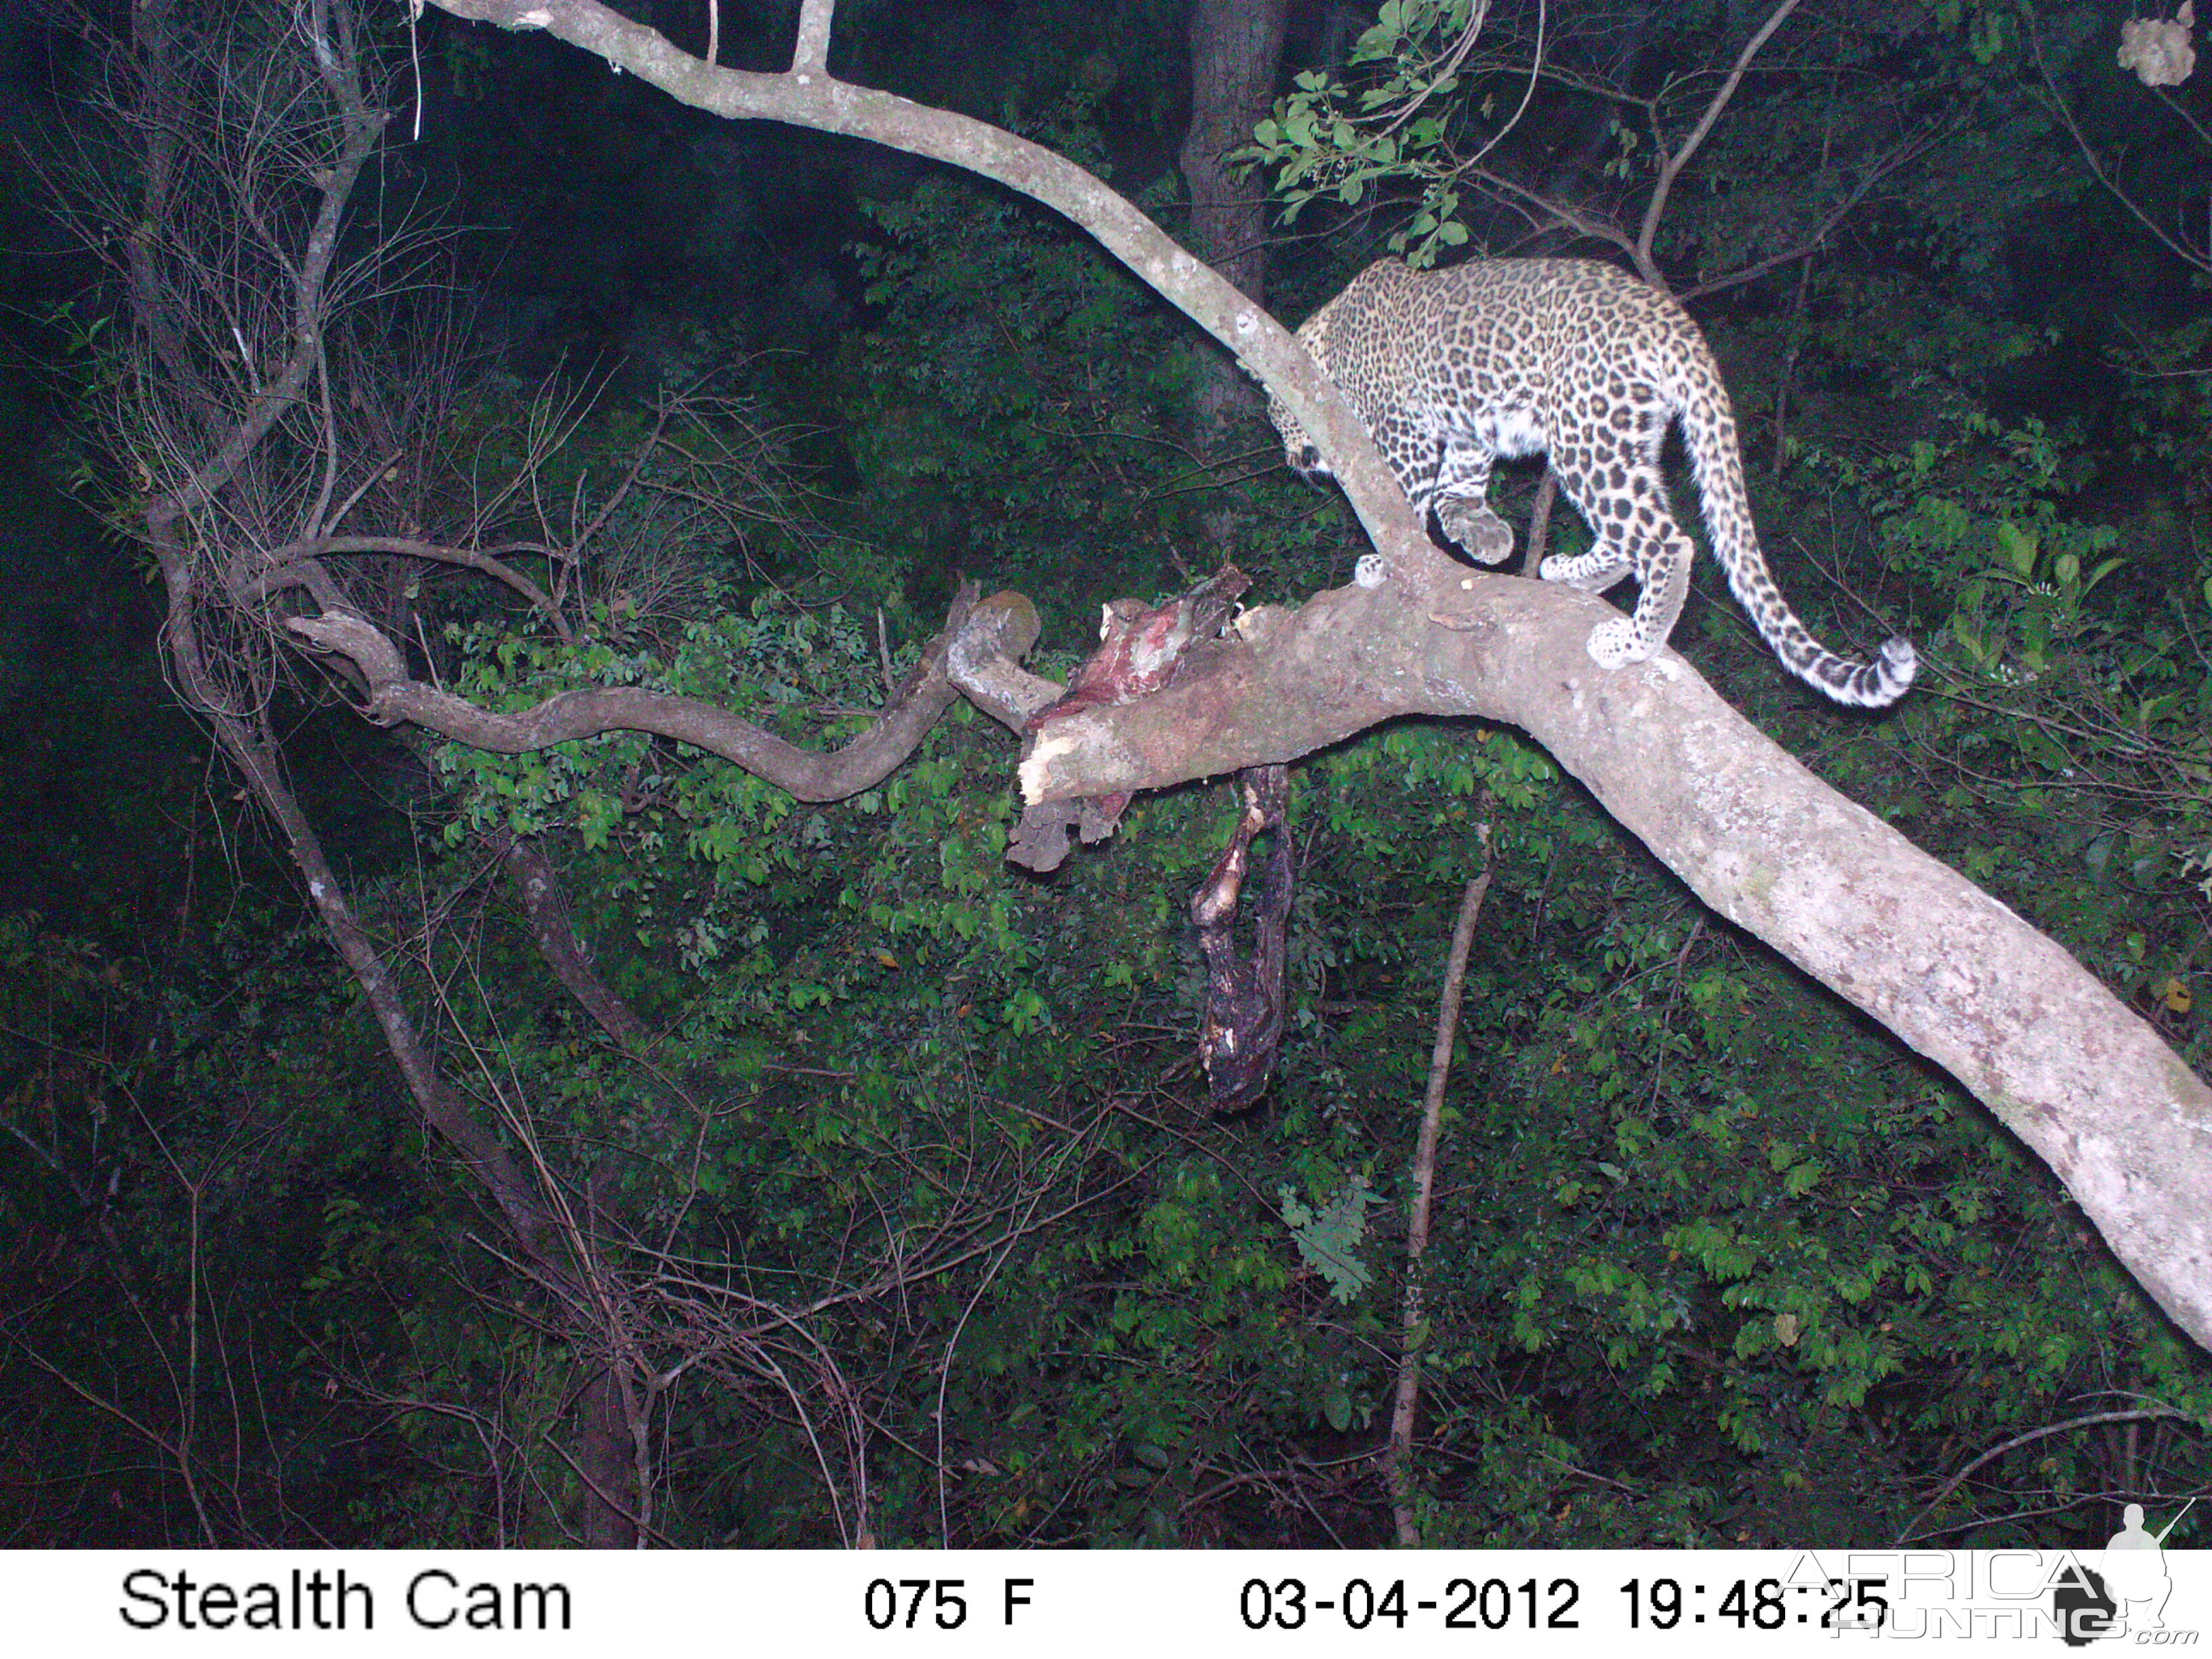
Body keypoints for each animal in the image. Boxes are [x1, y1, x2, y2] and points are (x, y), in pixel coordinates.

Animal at [1265, 255, 1920, 708]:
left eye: (1275, 411)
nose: (1295, 460)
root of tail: (1673, 318)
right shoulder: (1469, 433)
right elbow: (1458, 490)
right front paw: (1489, 539)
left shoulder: (1406, 431)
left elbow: (1404, 496)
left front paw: (1380, 562)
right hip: (1624, 436)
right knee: (1631, 534)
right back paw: (1571, 572)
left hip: (1585, 433)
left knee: (1667, 543)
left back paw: (1633, 641)